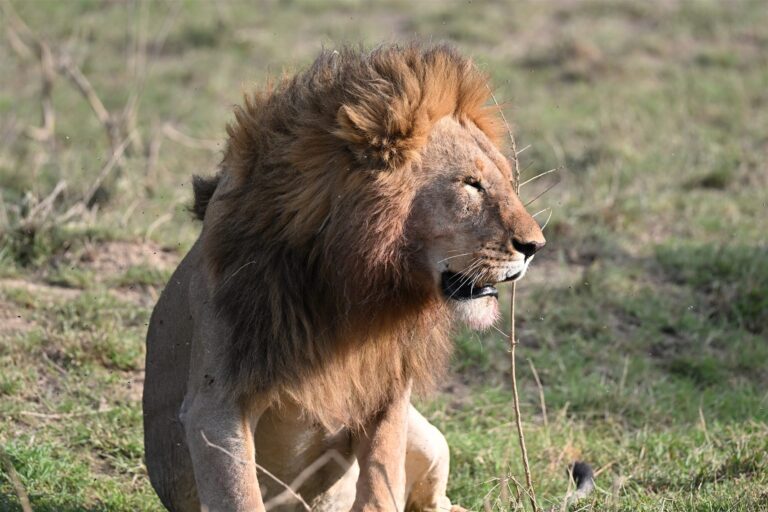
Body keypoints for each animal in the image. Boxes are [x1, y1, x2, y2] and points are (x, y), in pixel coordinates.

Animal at [143, 44, 548, 511]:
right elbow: (240, 496)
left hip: (430, 438)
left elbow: (381, 481)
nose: (535, 246)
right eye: (471, 184)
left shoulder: (389, 389)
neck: (347, 280)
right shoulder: (216, 402)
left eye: (507, 182)